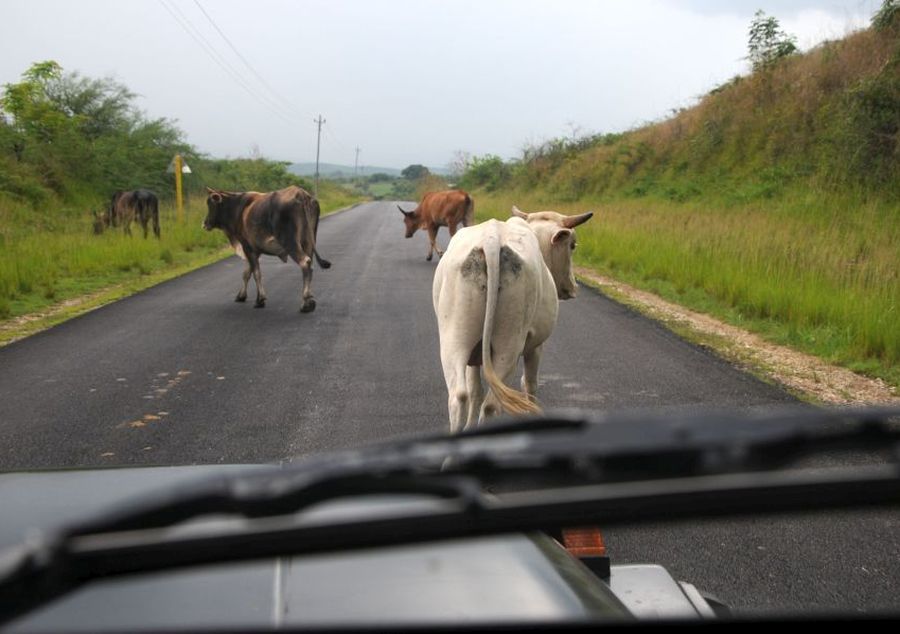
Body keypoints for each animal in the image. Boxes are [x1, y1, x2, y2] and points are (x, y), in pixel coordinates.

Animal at [202, 183, 332, 312]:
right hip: (308, 243)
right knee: (310, 265)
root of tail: (301, 194)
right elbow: (247, 273)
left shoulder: (247, 246)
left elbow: (256, 273)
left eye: (210, 203)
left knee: (305, 262)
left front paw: (260, 299)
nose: (205, 224)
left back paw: (305, 303)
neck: (237, 208)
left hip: (291, 243)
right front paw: (241, 295)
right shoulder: (255, 249)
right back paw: (309, 300)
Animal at [432, 202, 596, 430]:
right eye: (572, 245)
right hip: (509, 345)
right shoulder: (536, 346)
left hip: (454, 339)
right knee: (491, 404)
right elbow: (530, 384)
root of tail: (491, 239)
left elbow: (475, 391)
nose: (573, 287)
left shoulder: (474, 354)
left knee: (460, 396)